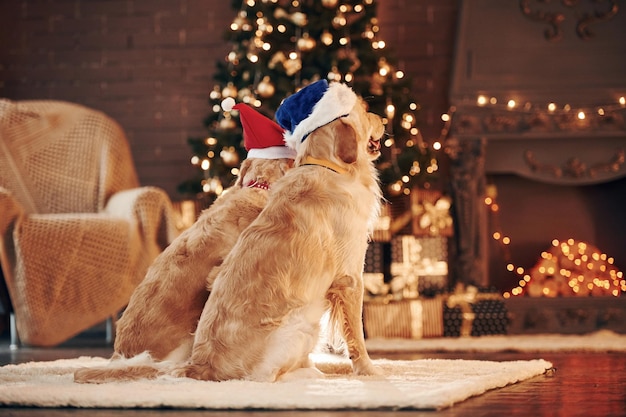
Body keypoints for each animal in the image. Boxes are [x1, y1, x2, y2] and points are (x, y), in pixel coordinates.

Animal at [176, 79, 386, 382]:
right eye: (366, 110)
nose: (383, 119)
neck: (331, 167)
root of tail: (200, 363)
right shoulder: (350, 278)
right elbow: (356, 335)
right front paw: (369, 371)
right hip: (303, 323)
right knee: (273, 377)